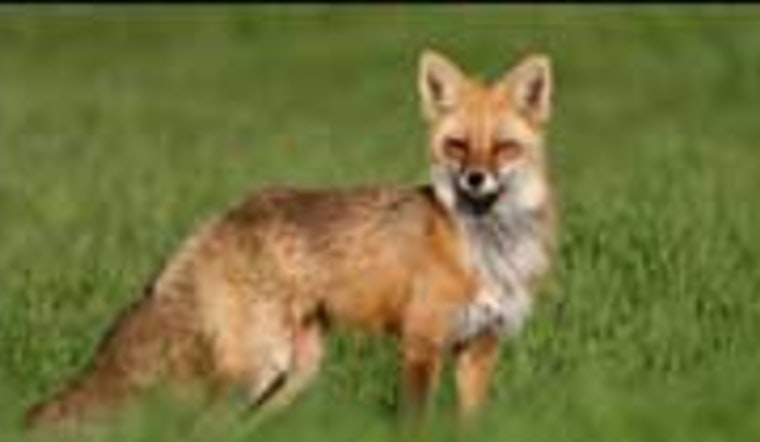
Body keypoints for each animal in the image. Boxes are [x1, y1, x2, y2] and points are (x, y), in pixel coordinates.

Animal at [24, 49, 558, 430]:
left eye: (504, 148)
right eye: (457, 145)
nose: (474, 180)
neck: (489, 250)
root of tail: (224, 214)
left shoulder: (480, 350)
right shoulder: (421, 344)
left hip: (293, 374)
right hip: (259, 368)